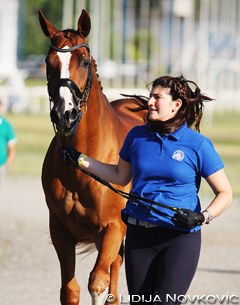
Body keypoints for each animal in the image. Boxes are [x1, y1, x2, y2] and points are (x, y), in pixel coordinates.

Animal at [39, 8, 147, 304]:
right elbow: (70, 290)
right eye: (48, 63)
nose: (65, 114)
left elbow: (97, 283)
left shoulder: (112, 228)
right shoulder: (60, 231)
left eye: (85, 61)